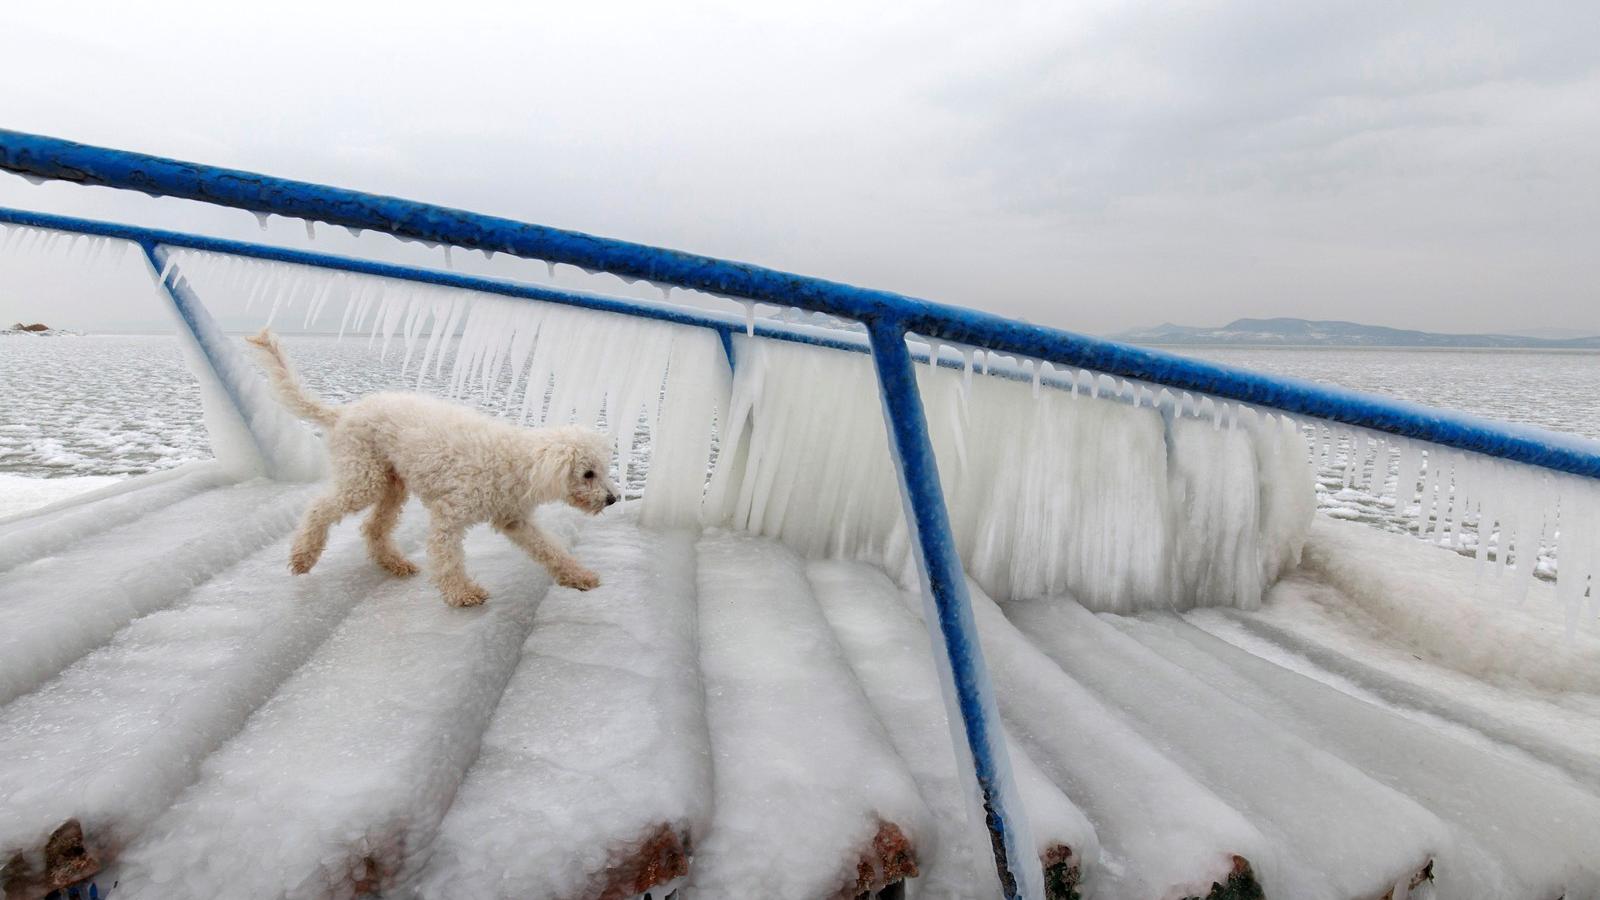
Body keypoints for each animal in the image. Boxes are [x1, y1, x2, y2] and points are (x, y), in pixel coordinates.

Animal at [246, 325, 614, 605]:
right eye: (588, 473)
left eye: (604, 470)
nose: (612, 499)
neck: (516, 462)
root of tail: (344, 413)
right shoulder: (450, 514)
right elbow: (447, 556)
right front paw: (463, 593)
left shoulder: (514, 519)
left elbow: (548, 548)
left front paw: (579, 576)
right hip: (364, 476)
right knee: (319, 508)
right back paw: (303, 556)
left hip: (392, 483)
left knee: (373, 527)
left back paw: (394, 563)